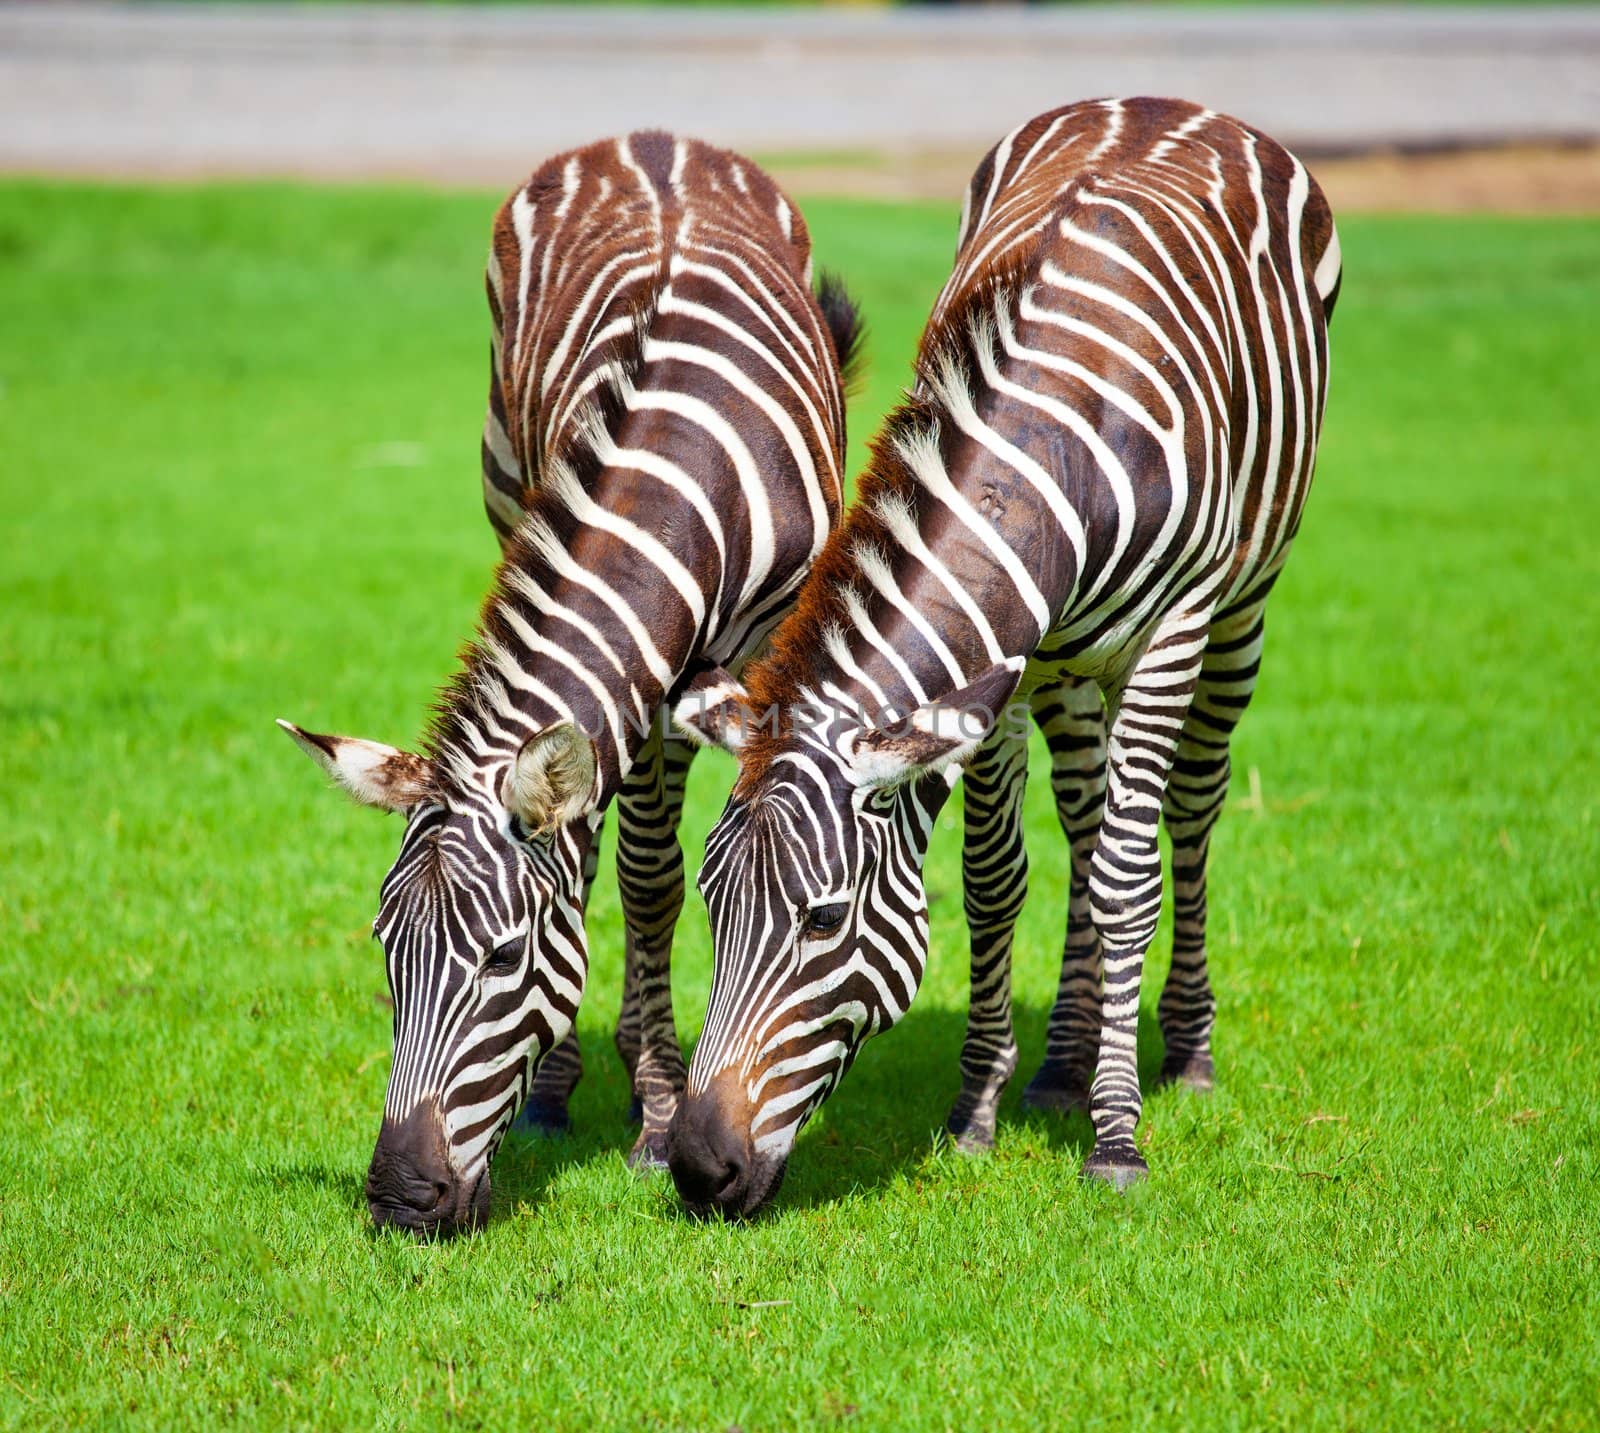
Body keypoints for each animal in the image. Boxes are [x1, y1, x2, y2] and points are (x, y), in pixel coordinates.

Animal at [284, 128, 864, 1234]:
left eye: (503, 958)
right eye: (385, 947)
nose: (401, 1201)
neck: (675, 471)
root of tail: (651, 138)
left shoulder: (742, 667)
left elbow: (652, 881)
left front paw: (659, 1117)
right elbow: (599, 865)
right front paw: (618, 1088)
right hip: (510, 494)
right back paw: (558, 1091)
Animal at [662, 95, 1337, 1215]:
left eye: (822, 920)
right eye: (712, 908)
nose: (697, 1167)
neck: (1052, 439)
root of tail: (1168, 103)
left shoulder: (1171, 630)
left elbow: (1128, 883)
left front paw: (1118, 1141)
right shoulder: (1002, 669)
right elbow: (994, 878)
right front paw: (977, 1108)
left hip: (1242, 602)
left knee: (1187, 808)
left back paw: (1185, 1049)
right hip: (1069, 669)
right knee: (1091, 818)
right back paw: (1064, 1062)